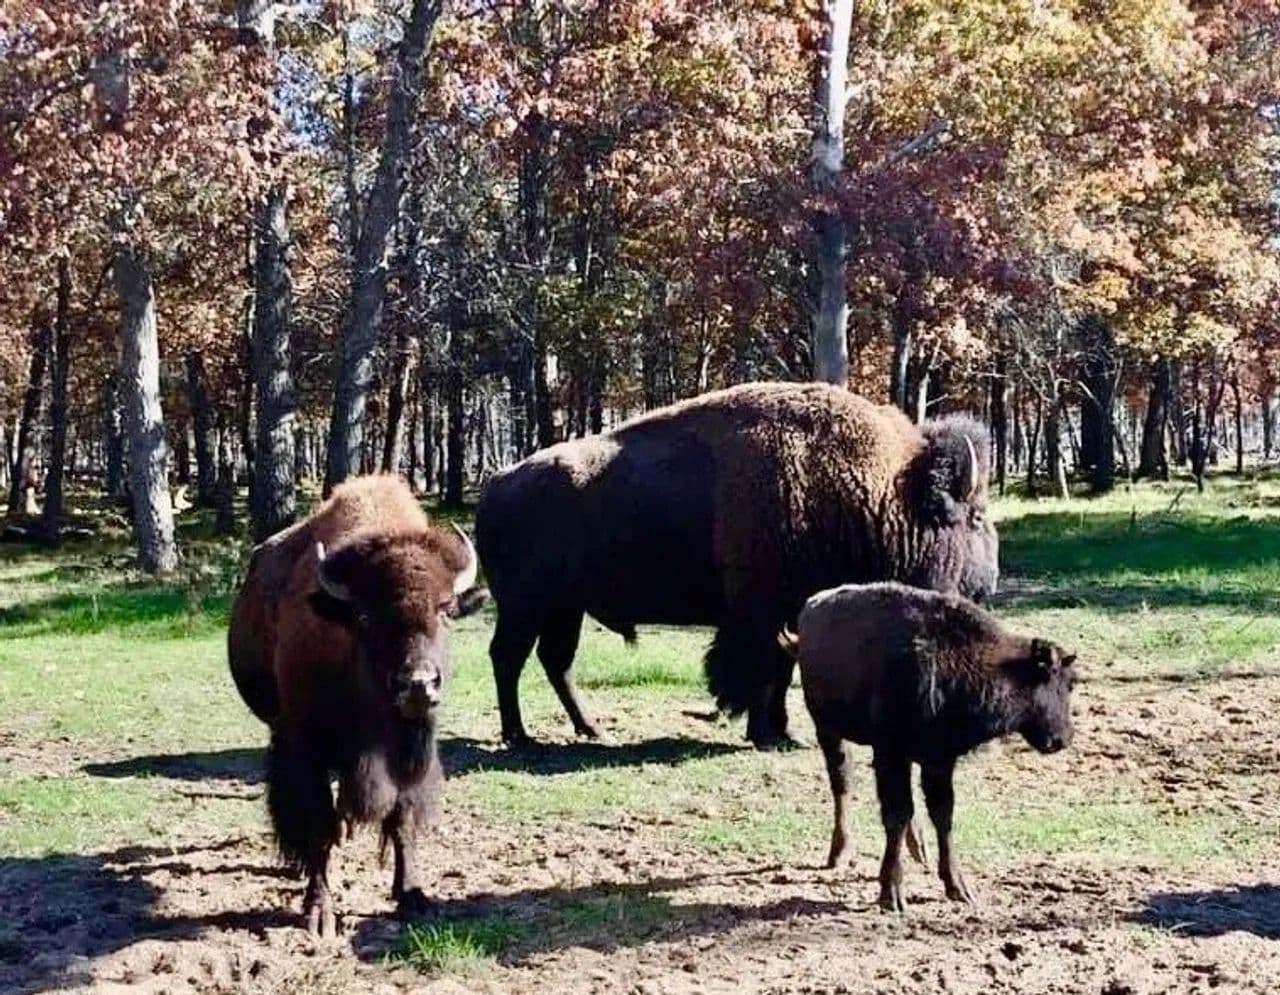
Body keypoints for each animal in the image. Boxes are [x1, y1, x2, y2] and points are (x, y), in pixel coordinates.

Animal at [227, 475, 486, 935]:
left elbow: (402, 819)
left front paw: (413, 897)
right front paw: (320, 913)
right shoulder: (306, 748)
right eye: (365, 617)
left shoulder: (409, 758)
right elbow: (317, 826)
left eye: (445, 610)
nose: (418, 684)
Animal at [476, 381, 999, 749]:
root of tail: (497, 483)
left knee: (555, 661)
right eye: (975, 516)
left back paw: (591, 729)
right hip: (525, 607)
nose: (988, 582)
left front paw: (782, 733)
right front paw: (765, 732)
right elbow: (762, 671)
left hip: (564, 609)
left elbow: (782, 671)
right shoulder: (760, 615)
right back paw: (519, 736)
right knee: (508, 657)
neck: (880, 491)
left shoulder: (788, 616)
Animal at [784, 582, 1076, 911]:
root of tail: (813, 605)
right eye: (1063, 684)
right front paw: (892, 892)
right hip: (829, 732)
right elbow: (896, 814)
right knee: (842, 783)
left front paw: (958, 887)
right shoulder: (891, 753)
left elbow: (941, 814)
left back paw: (917, 849)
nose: (1063, 738)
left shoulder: (938, 759)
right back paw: (840, 852)